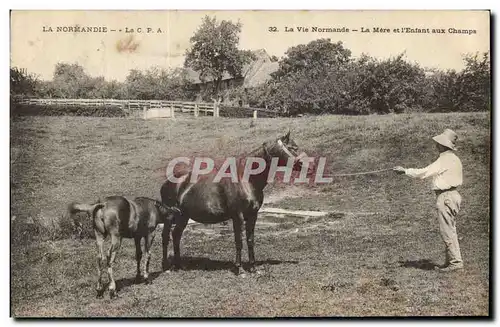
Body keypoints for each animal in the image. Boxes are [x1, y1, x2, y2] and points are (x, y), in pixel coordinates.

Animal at [161, 132, 308, 276]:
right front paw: (240, 269)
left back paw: (179, 265)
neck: (246, 180)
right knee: (166, 236)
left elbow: (250, 240)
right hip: (171, 217)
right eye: (292, 148)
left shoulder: (253, 215)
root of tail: (168, 182)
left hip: (183, 217)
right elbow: (239, 241)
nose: (304, 164)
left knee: (176, 235)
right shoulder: (238, 216)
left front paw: (253, 268)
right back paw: (166, 266)